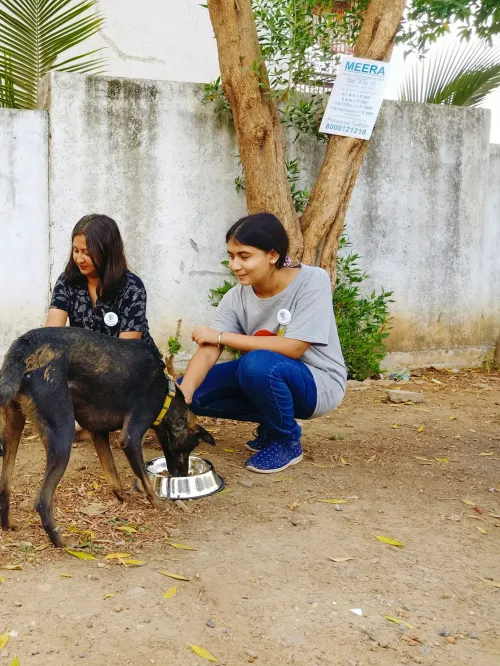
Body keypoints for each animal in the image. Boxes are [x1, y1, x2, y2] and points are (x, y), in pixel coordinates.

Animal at [0, 324, 213, 548]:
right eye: (190, 446)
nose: (182, 475)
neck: (166, 394)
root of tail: (25, 346)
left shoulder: (98, 433)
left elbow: (112, 473)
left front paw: (124, 497)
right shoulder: (130, 437)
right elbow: (144, 479)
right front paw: (158, 503)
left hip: (13, 428)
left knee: (4, 485)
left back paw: (8, 524)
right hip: (62, 437)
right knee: (42, 500)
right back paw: (60, 541)